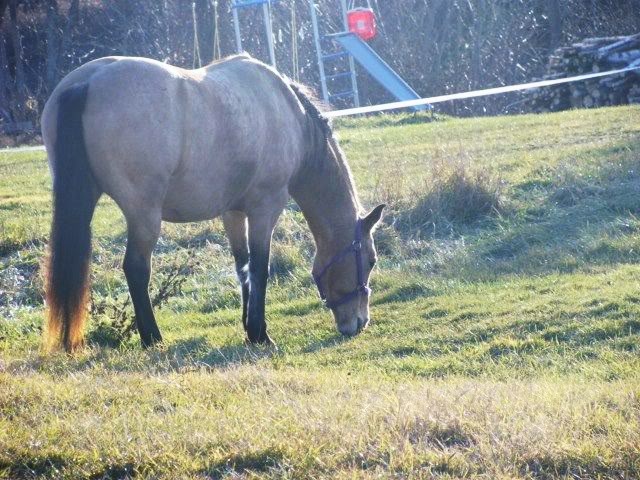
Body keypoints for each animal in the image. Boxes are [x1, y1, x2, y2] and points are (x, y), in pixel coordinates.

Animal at [43, 53, 384, 352]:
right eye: (370, 260)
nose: (359, 322)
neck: (291, 118)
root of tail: (88, 82)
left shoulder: (233, 212)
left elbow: (242, 266)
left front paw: (249, 328)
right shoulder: (264, 209)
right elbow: (259, 267)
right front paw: (260, 333)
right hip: (144, 216)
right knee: (136, 269)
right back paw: (152, 338)